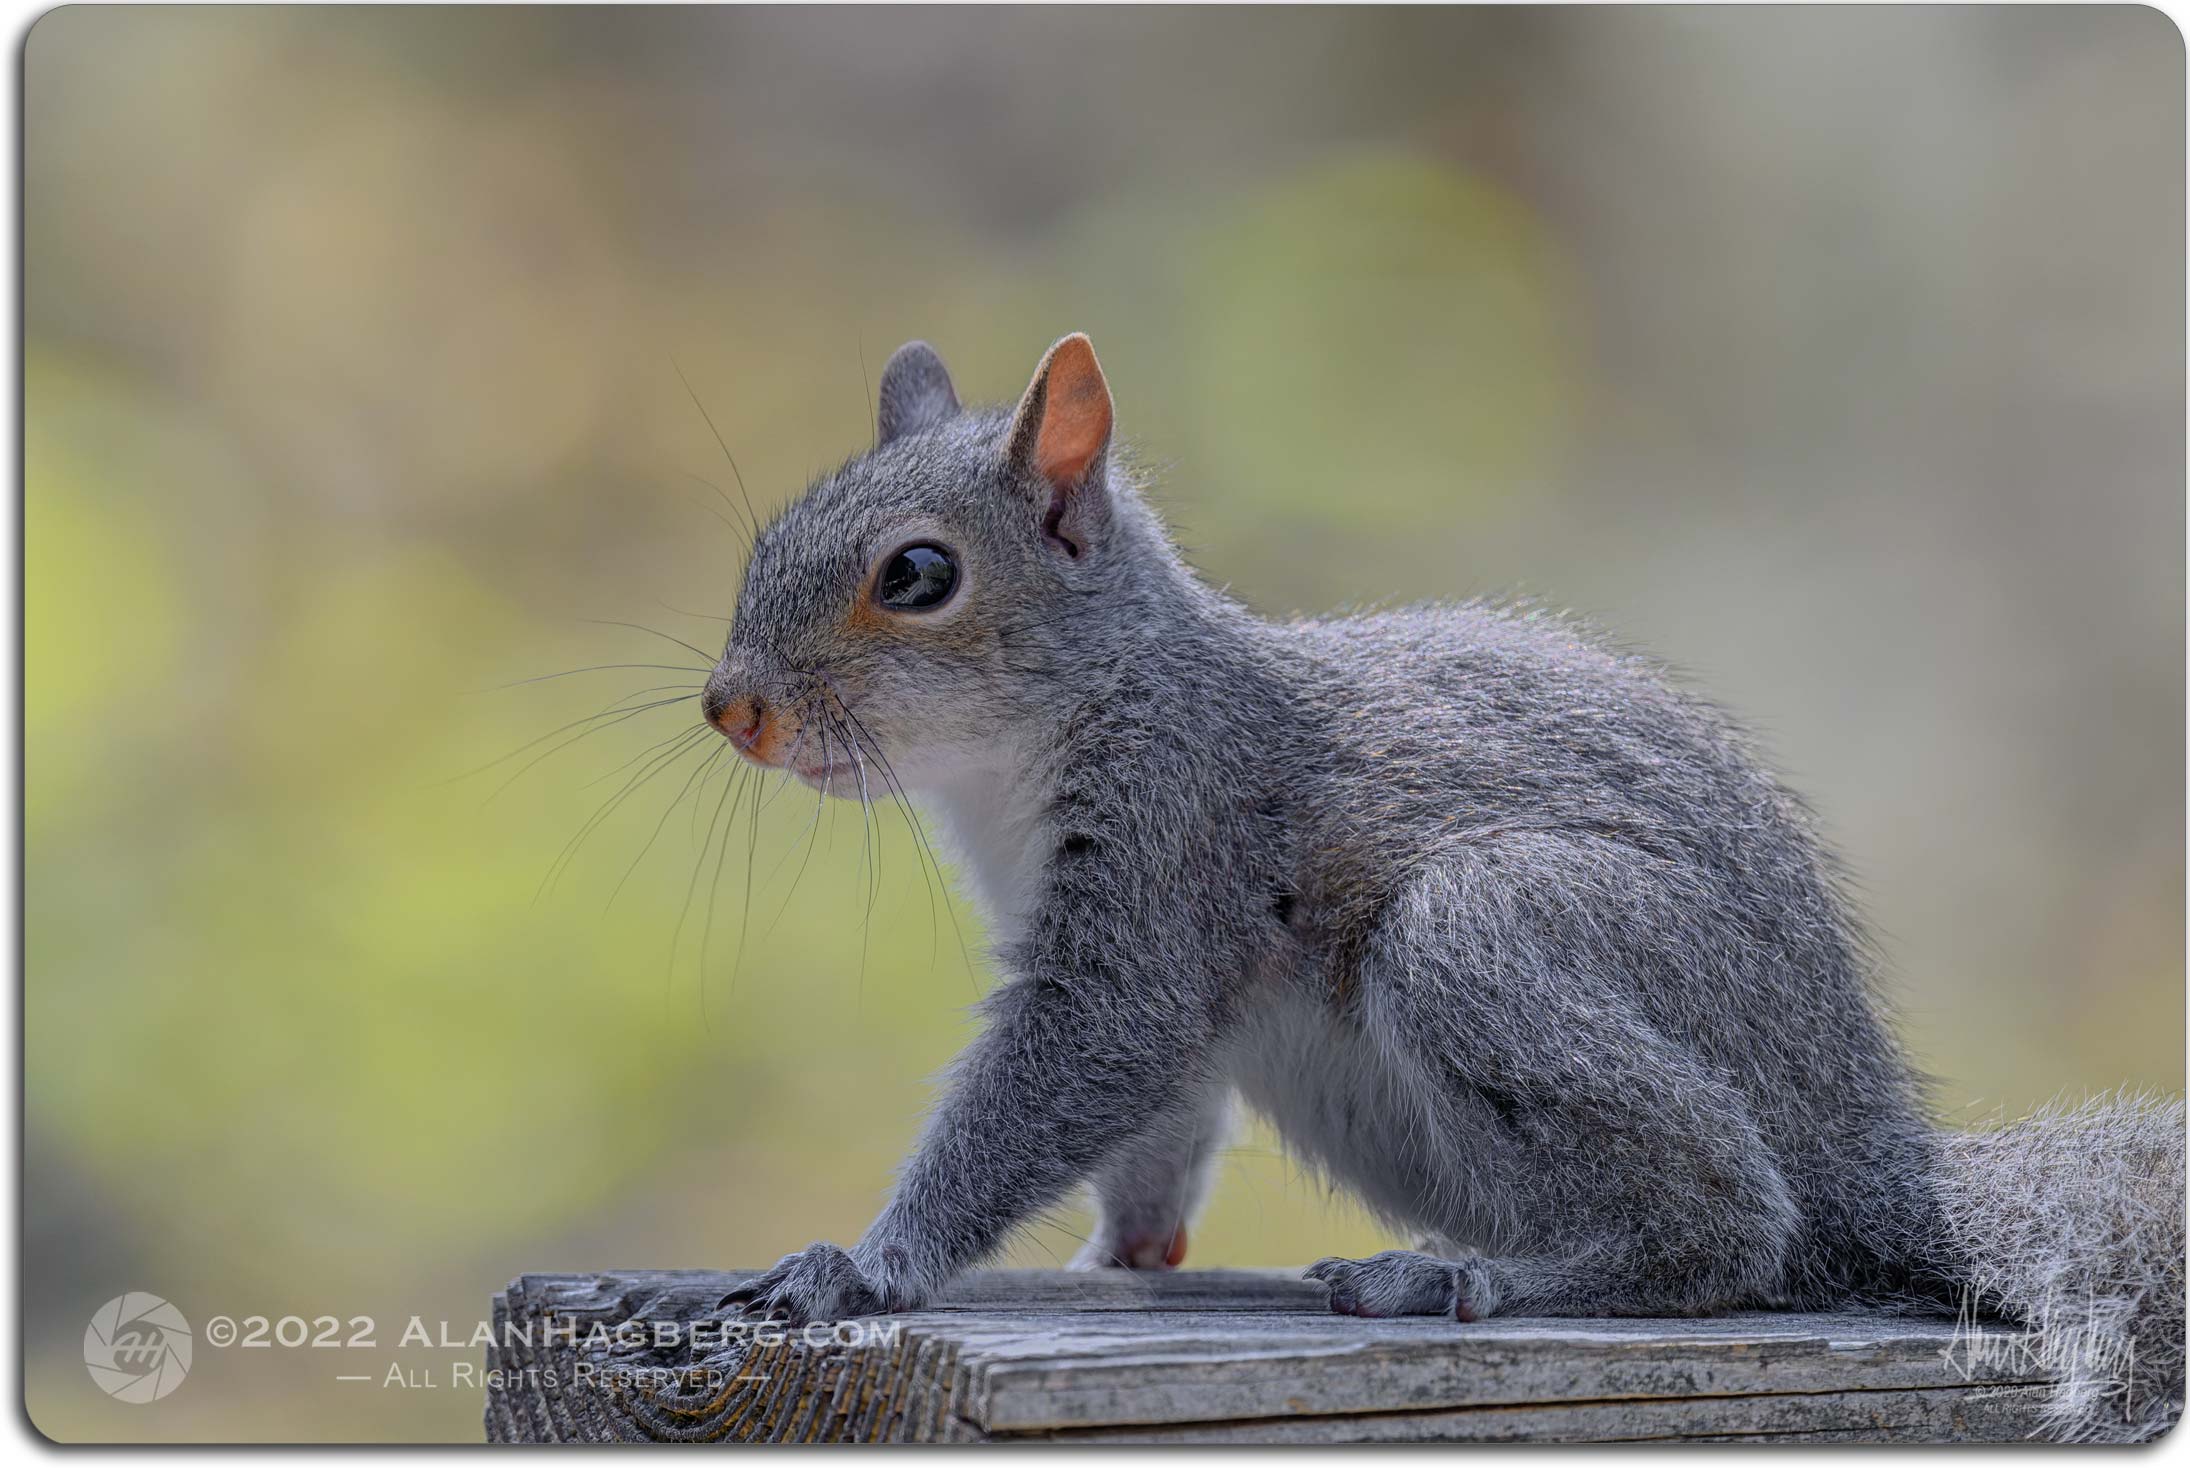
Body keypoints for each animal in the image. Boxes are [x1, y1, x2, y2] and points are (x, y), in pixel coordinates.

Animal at [701, 333, 2184, 1442]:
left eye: (918, 574)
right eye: (765, 545)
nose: (731, 709)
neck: (1028, 753)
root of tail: (1865, 1144)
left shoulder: (1168, 858)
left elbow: (1071, 1076)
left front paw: (860, 1266)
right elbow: (1162, 1123)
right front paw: (1122, 1258)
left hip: (1481, 932)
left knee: (1733, 1232)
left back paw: (1465, 1276)